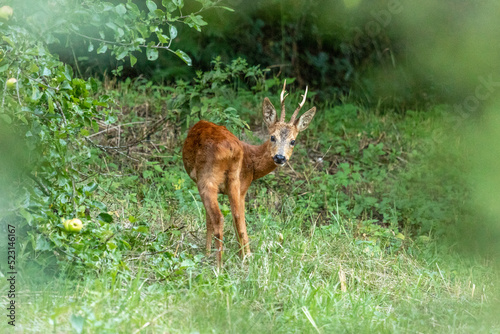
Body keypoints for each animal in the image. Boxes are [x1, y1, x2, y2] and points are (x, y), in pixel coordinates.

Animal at [183, 81, 316, 266]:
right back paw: (244, 258)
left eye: (293, 141)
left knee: (218, 217)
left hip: (207, 177)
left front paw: (207, 252)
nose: (280, 157)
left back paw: (219, 265)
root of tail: (232, 150)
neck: (251, 160)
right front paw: (245, 256)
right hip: (232, 181)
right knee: (237, 217)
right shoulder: (243, 187)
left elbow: (209, 218)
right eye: (272, 137)